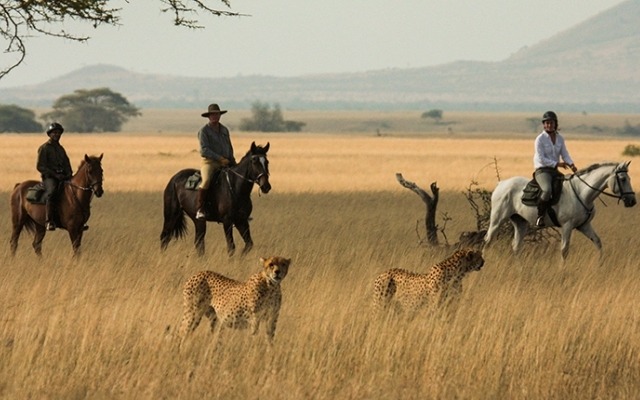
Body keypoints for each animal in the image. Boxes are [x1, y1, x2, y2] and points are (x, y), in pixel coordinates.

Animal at [484, 161, 636, 260]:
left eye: (629, 178)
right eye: (623, 179)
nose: (632, 201)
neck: (581, 192)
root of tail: (501, 184)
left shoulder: (584, 225)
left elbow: (598, 242)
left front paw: (600, 264)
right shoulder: (567, 226)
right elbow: (564, 250)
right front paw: (562, 270)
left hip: (520, 222)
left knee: (516, 246)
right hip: (497, 220)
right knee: (487, 241)